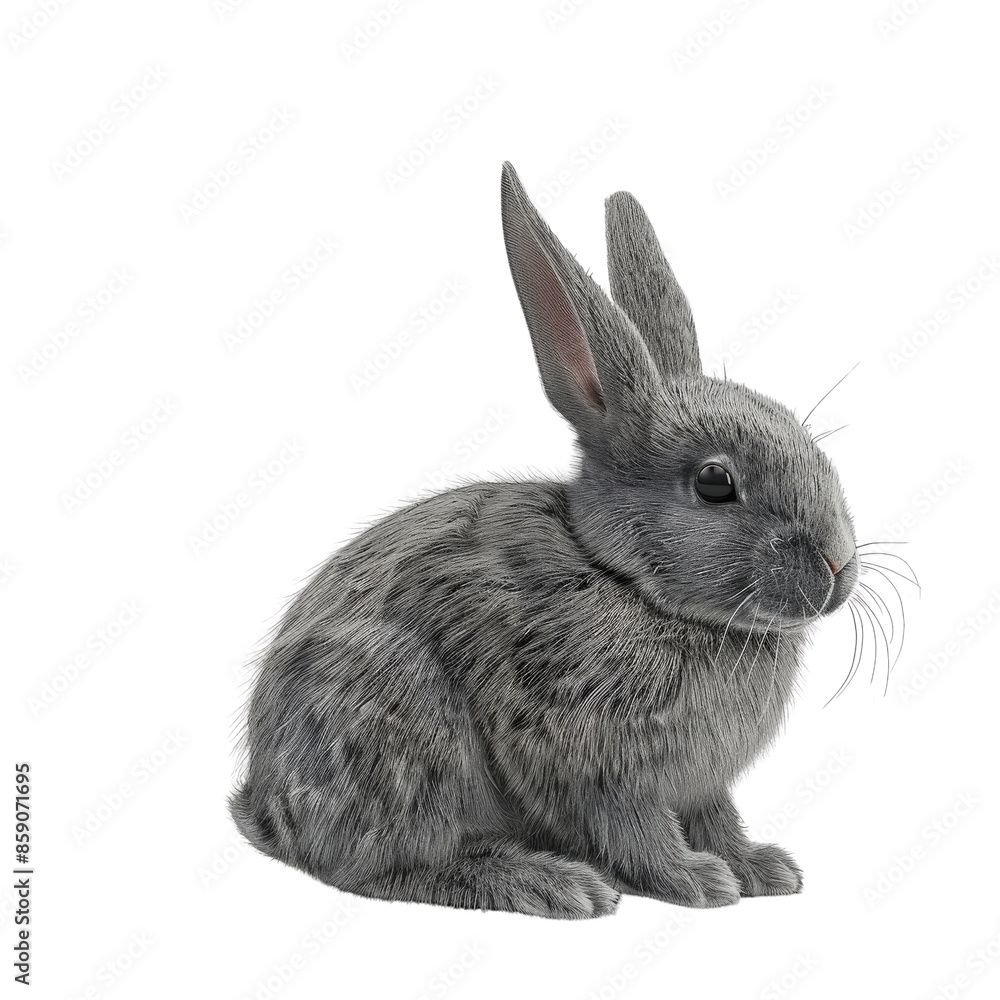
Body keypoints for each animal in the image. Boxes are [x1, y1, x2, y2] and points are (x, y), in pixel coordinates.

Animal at [229, 161, 859, 919]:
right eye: (714, 482)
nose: (839, 566)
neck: (626, 582)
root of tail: (263, 805)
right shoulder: (585, 757)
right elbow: (634, 828)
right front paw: (696, 882)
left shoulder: (700, 785)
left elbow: (716, 816)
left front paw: (760, 868)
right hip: (406, 735)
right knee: (386, 866)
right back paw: (549, 882)